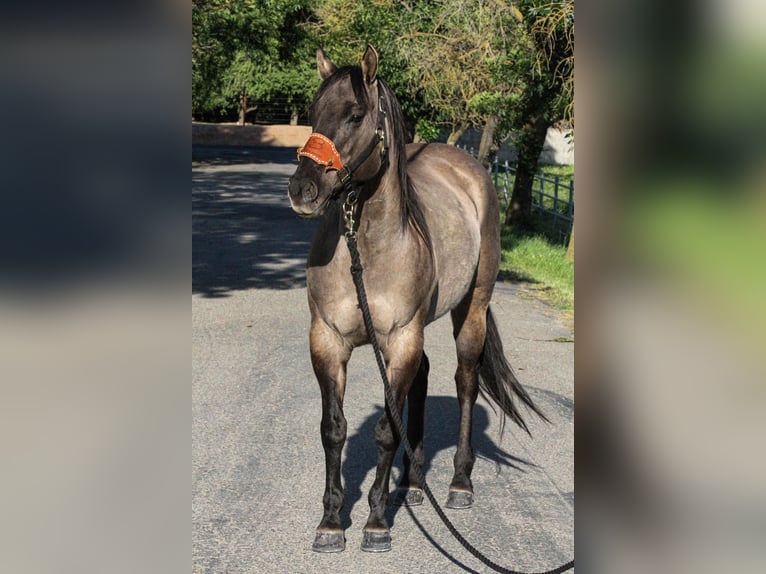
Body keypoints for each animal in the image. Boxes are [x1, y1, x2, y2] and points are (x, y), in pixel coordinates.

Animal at [288, 47, 544, 556]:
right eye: (312, 113)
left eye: (355, 115)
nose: (302, 190)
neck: (366, 248)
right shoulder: (327, 341)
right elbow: (333, 429)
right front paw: (331, 522)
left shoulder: (399, 339)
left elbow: (388, 429)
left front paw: (376, 522)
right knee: (422, 379)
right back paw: (412, 482)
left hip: (470, 312)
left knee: (465, 382)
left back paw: (458, 483)